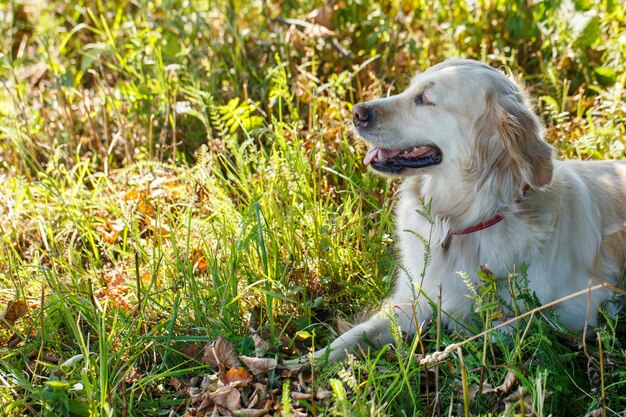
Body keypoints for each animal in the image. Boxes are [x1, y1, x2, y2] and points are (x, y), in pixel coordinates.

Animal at [292, 58, 624, 364]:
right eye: (410, 88)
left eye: (425, 99)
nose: (357, 112)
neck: (460, 221)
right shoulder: (412, 299)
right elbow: (356, 334)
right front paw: (306, 363)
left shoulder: (572, 309)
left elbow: (485, 334)